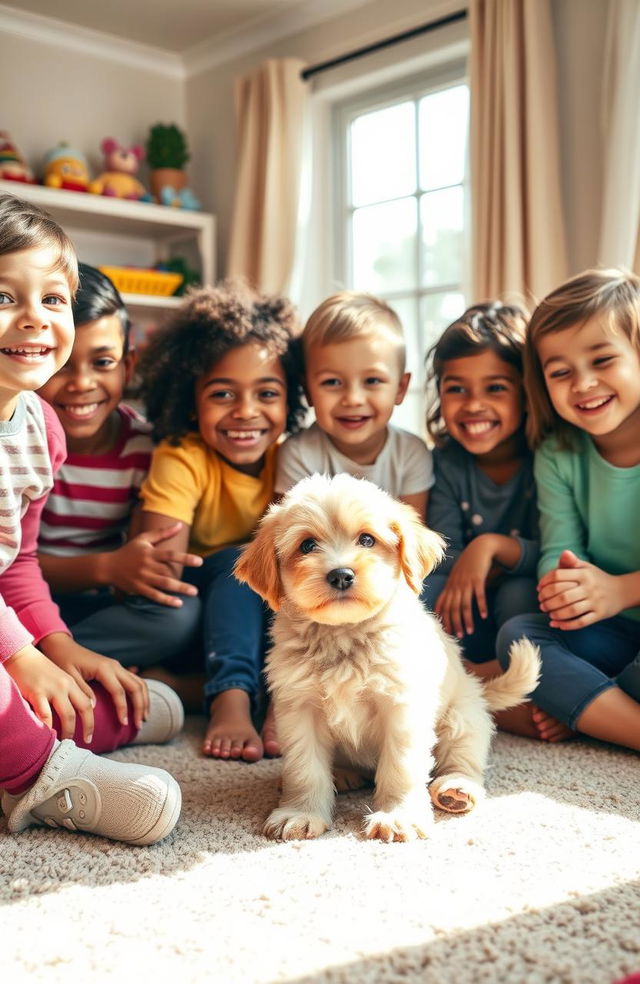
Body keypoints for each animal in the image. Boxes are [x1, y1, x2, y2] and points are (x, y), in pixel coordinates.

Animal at [235, 472, 540, 840]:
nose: (341, 575)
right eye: (307, 545)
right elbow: (304, 768)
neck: (344, 636)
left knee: (463, 759)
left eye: (367, 539)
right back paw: (342, 774)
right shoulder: (300, 708)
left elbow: (401, 767)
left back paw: (456, 788)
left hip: (462, 719)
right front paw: (301, 812)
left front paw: (397, 815)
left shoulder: (401, 707)